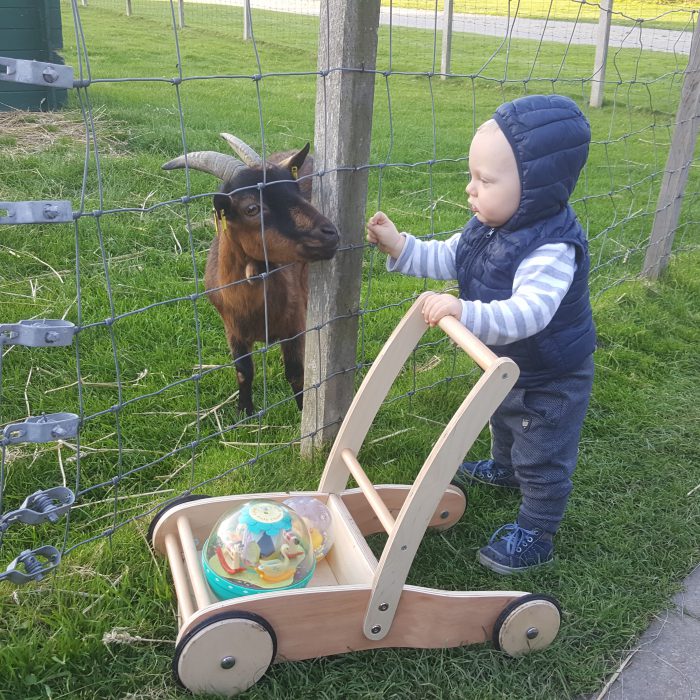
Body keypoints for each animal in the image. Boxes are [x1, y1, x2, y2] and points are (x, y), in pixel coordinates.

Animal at [164, 135, 340, 416]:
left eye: (296, 191)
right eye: (251, 208)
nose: (330, 233)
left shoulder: (295, 325)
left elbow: (295, 373)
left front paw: (304, 411)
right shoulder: (232, 329)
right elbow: (243, 371)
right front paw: (243, 412)